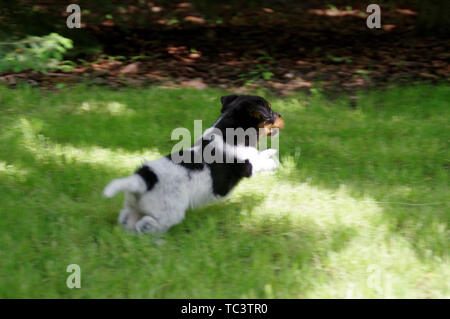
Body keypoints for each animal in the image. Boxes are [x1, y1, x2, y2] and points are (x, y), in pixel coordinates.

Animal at [103, 95, 284, 235]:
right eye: (269, 109)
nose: (281, 115)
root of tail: (145, 179)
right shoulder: (248, 166)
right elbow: (260, 162)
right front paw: (273, 163)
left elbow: (262, 153)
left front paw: (271, 151)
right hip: (169, 212)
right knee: (147, 224)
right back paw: (157, 239)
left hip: (132, 207)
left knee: (127, 220)